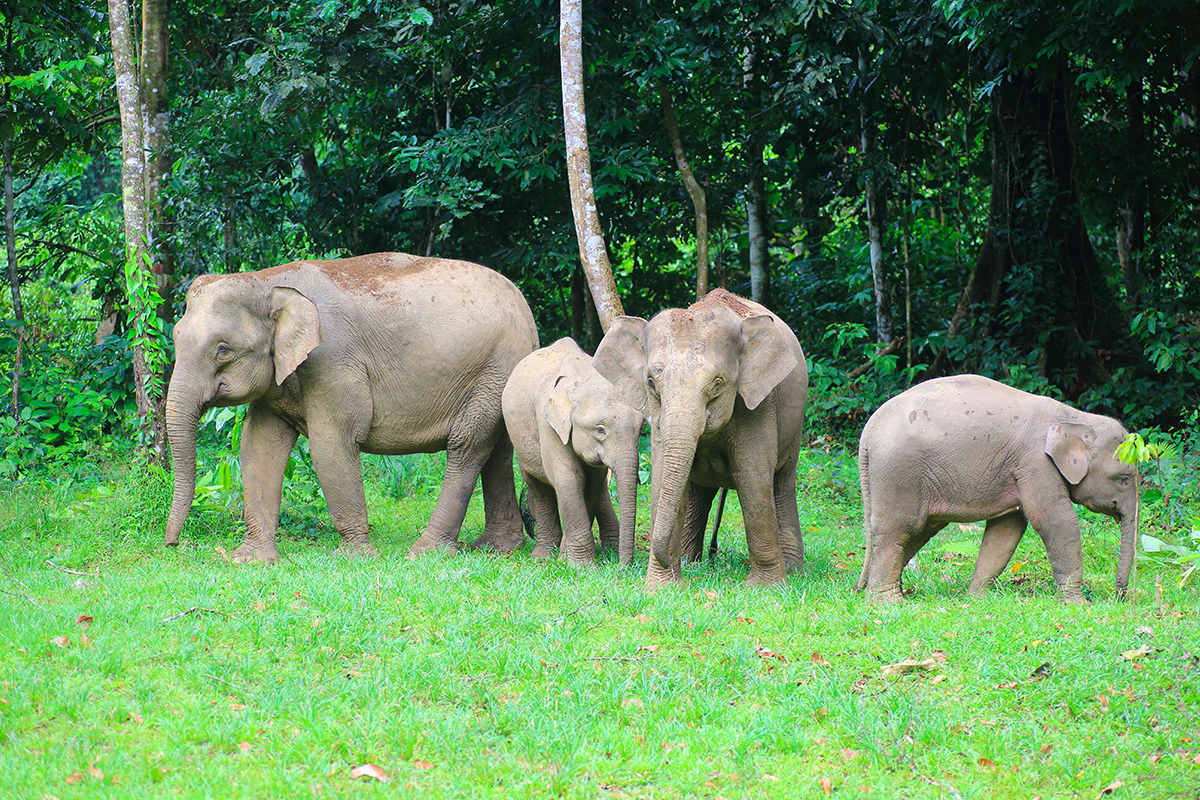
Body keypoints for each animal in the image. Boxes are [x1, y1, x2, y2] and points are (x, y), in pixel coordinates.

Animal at [164, 253, 540, 561]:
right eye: (175, 336)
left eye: (223, 349)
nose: (171, 545)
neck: (268, 280)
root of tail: (526, 310)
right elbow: (258, 445)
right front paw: (250, 560)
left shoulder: (332, 360)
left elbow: (331, 443)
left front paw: (355, 557)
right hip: (500, 376)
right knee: (498, 450)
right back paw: (497, 549)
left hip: (495, 366)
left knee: (467, 447)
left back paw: (425, 552)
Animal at [499, 340, 643, 568]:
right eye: (600, 430)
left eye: (640, 428)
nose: (623, 567)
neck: (582, 377)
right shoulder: (547, 423)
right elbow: (569, 478)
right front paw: (581, 566)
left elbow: (591, 484)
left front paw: (568, 558)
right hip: (519, 442)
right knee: (538, 488)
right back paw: (543, 556)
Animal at [595, 289, 811, 587]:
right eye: (650, 382)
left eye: (717, 383)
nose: (622, 568)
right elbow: (662, 477)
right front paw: (663, 587)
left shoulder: (759, 404)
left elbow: (753, 478)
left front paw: (767, 588)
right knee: (699, 492)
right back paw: (692, 563)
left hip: (795, 423)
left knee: (782, 483)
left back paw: (792, 570)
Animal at [859, 371, 1137, 604]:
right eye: (1124, 479)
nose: (1119, 597)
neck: (1075, 417)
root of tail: (868, 430)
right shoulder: (1036, 464)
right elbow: (1055, 520)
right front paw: (1078, 604)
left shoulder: (1017, 470)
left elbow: (1006, 530)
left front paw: (976, 599)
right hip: (898, 472)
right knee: (897, 530)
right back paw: (887, 602)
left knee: (920, 530)